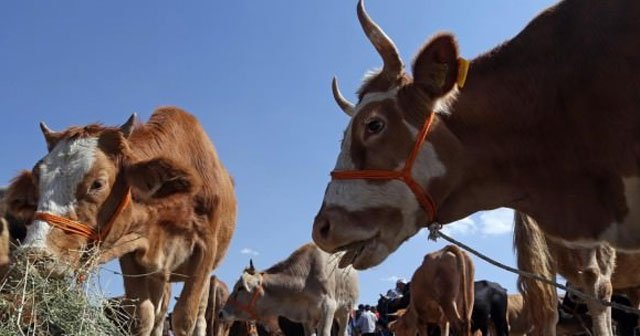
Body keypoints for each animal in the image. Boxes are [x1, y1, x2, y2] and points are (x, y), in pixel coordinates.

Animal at [3, 108, 238, 336]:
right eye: (38, 182)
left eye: (97, 184)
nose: (32, 257)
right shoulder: (131, 251)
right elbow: (143, 318)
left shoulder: (205, 251)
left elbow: (184, 319)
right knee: (159, 315)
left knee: (198, 318)